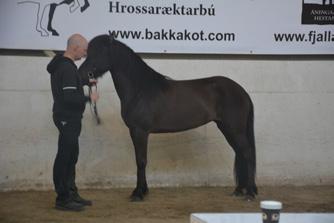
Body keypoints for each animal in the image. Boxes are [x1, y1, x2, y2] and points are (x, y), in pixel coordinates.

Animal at [79, 32, 258, 201]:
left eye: (99, 52)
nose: (82, 74)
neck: (140, 89)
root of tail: (242, 91)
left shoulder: (140, 131)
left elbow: (141, 161)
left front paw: (138, 193)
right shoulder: (136, 131)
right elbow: (140, 160)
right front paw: (143, 190)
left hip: (234, 129)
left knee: (247, 153)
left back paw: (249, 193)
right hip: (226, 128)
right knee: (239, 152)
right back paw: (238, 190)